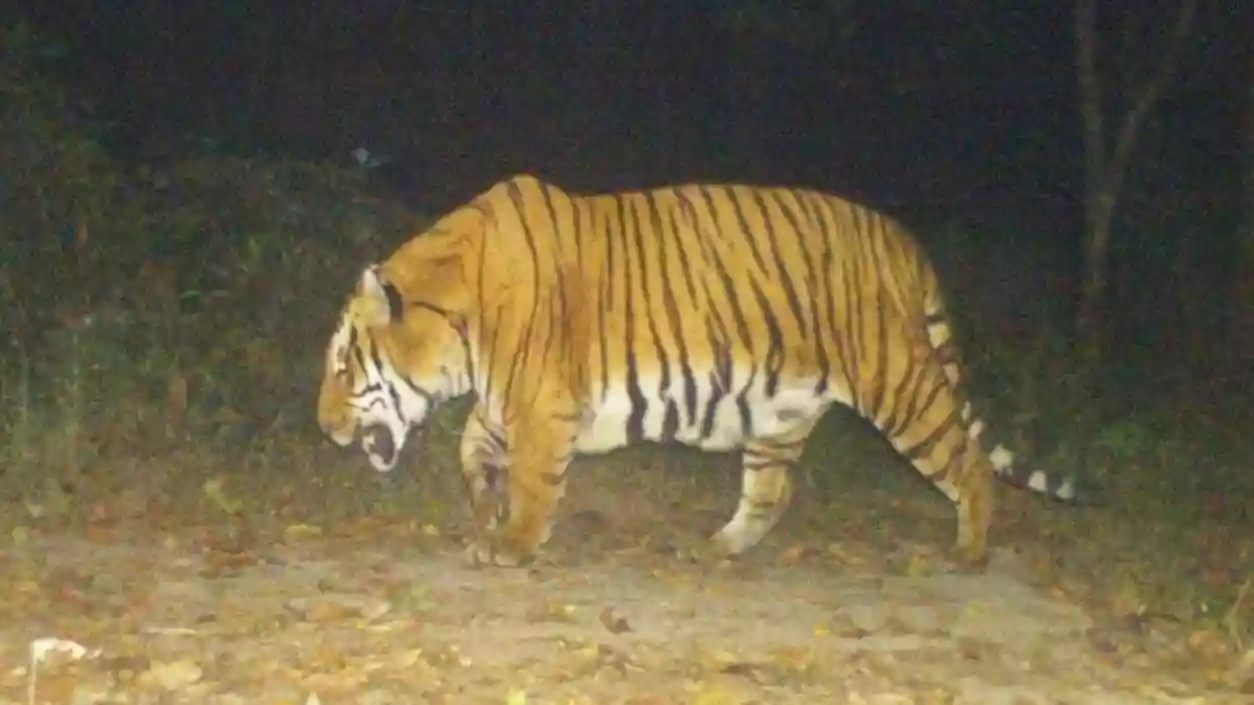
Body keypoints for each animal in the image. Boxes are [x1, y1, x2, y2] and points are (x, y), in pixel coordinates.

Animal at [317, 174, 1089, 569]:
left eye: (342, 365)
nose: (324, 430)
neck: (456, 318)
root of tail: (905, 240)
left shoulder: (541, 405)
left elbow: (535, 483)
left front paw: (511, 545)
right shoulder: (512, 401)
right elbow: (472, 447)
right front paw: (484, 504)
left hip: (898, 384)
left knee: (969, 464)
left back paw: (970, 551)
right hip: (782, 410)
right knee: (771, 491)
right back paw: (717, 546)